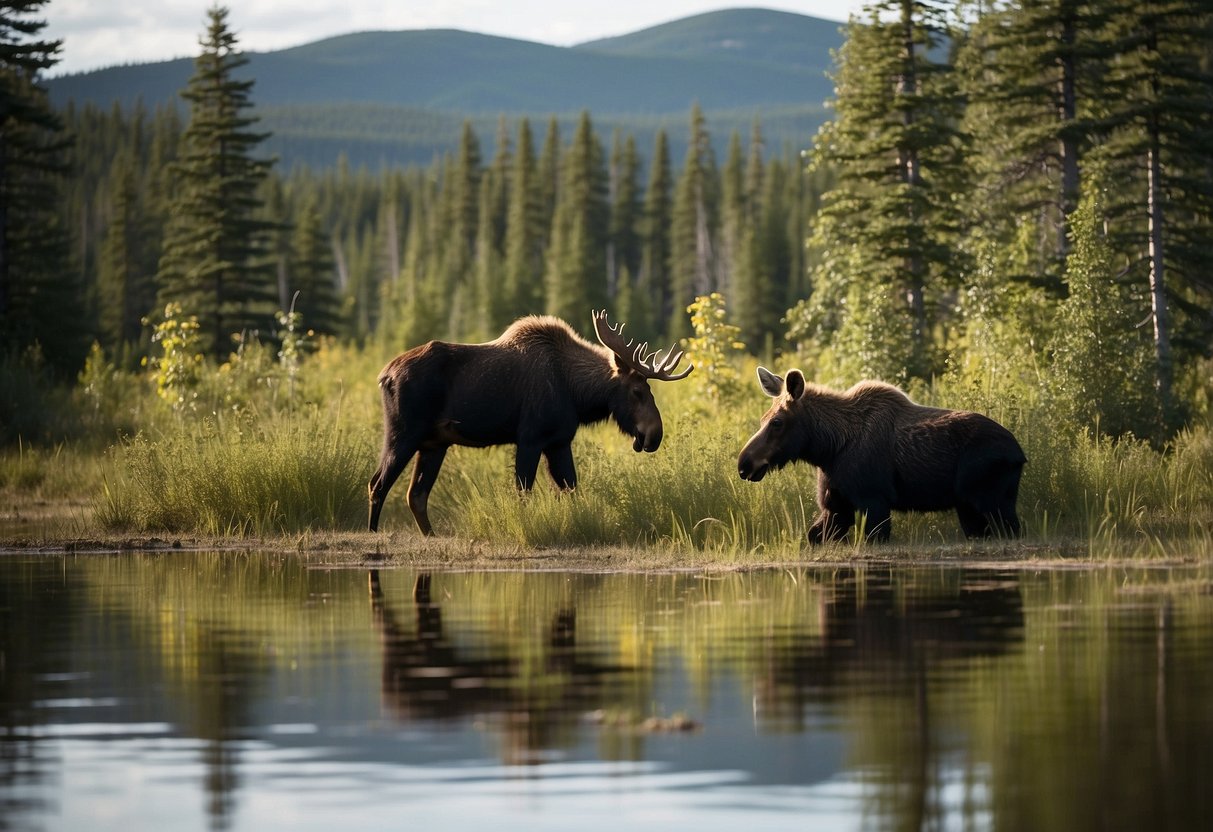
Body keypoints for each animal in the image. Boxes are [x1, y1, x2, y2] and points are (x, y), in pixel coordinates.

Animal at [366, 310, 693, 533]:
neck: (578, 395)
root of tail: (383, 375)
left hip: (434, 444)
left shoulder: (558, 442)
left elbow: (571, 489)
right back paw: (373, 534)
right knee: (378, 485)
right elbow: (524, 493)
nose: (654, 435)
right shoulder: (530, 438)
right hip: (403, 434)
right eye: (637, 391)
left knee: (416, 495)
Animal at [737, 368, 1023, 543]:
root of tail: (1019, 453)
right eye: (763, 418)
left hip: (991, 499)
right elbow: (813, 536)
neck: (828, 449)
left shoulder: (873, 498)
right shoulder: (837, 505)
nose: (744, 464)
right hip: (969, 505)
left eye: (776, 422)